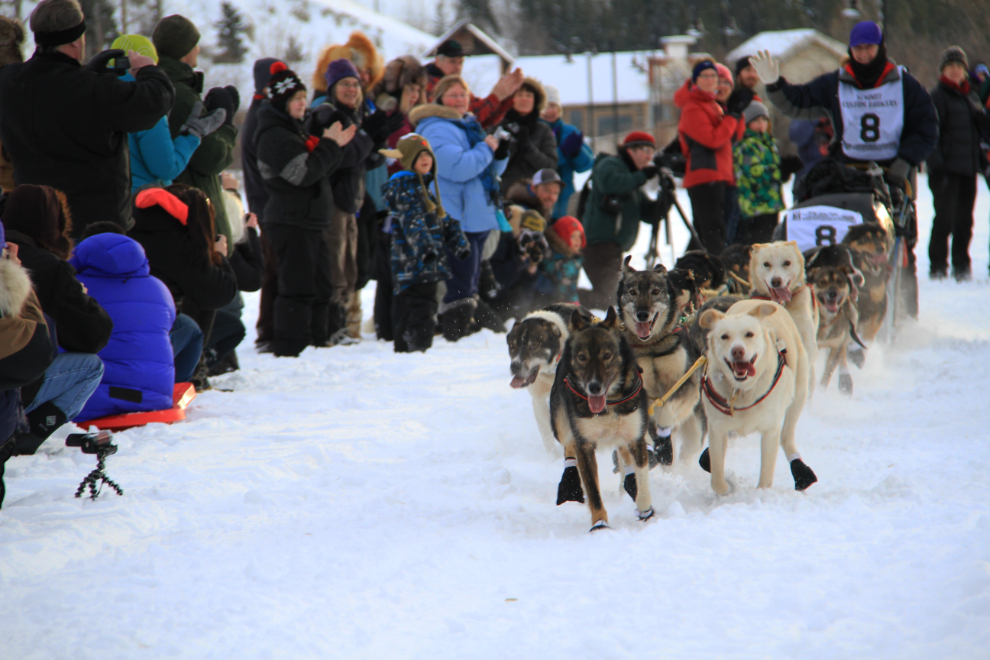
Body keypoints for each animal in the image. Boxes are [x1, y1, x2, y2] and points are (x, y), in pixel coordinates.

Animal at [552, 308, 660, 532]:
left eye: (607, 355)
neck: (609, 401)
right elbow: (593, 491)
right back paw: (570, 483)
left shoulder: (636, 436)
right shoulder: (584, 445)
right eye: (582, 357)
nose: (594, 387)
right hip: (561, 425)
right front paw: (599, 523)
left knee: (624, 453)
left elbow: (642, 477)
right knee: (569, 445)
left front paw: (645, 509)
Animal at [620, 255, 704, 466]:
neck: (652, 346)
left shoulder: (687, 385)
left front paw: (662, 426)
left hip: (694, 431)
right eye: (632, 292)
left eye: (656, 291)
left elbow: (667, 408)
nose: (642, 314)